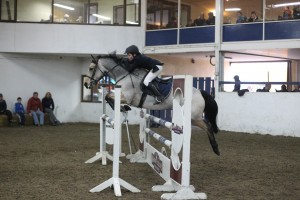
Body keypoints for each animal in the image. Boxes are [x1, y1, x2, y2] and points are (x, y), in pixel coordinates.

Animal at [84, 52, 220, 155]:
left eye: (91, 68)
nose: (86, 84)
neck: (124, 75)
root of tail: (200, 92)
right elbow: (107, 97)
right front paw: (124, 109)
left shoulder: (127, 97)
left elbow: (108, 96)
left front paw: (123, 108)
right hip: (192, 117)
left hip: (193, 117)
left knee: (208, 125)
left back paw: (216, 148)